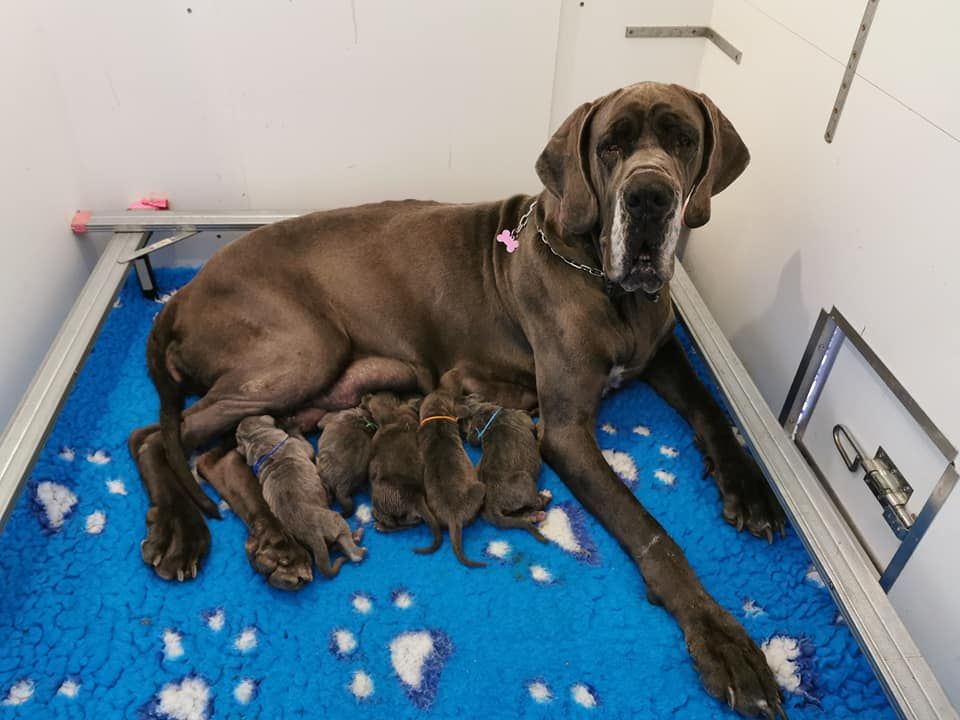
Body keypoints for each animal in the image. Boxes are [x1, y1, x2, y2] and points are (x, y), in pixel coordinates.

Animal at [234, 416, 366, 580]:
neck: (260, 443)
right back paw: (359, 544)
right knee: (352, 551)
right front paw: (293, 427)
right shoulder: (300, 445)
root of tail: (312, 534)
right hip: (336, 520)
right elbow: (306, 445)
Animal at [362, 394, 440, 540]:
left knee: (392, 523)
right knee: (411, 522)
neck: (395, 417)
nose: (365, 396)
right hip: (410, 514)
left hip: (379, 501)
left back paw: (380, 525)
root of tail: (416, 497)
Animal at [462, 396, 552, 544]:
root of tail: (491, 505)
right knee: (537, 502)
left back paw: (534, 516)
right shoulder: (523, 419)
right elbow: (530, 422)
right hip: (524, 478)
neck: (487, 419)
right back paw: (545, 497)